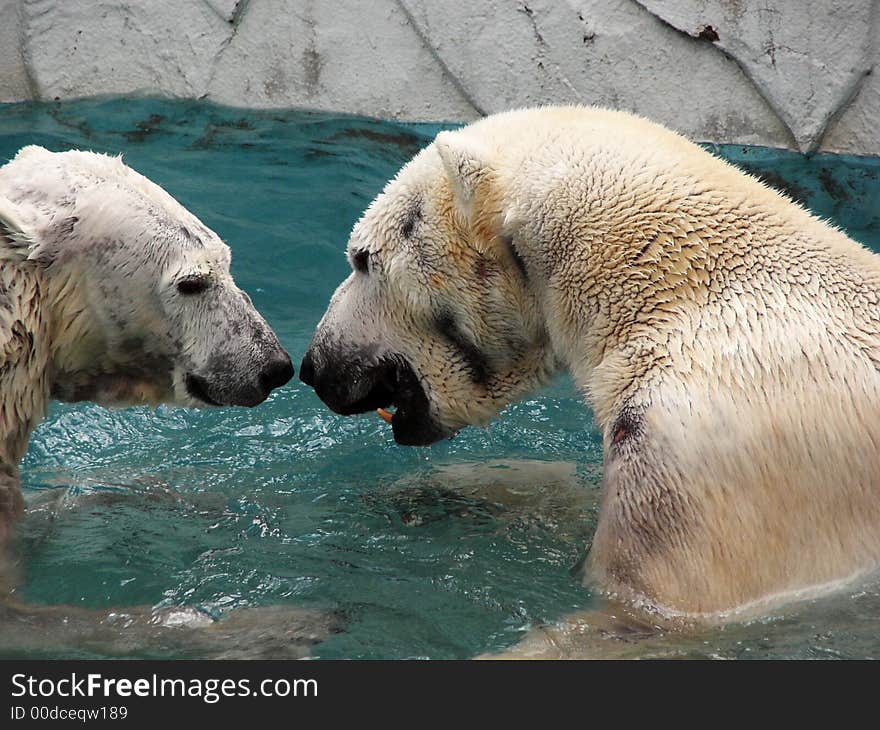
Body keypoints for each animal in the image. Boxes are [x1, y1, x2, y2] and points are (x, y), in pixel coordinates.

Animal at [300, 105, 880, 652]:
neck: (677, 287)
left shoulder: (706, 442)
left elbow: (647, 608)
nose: (314, 366)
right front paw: (435, 492)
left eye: (362, 258)